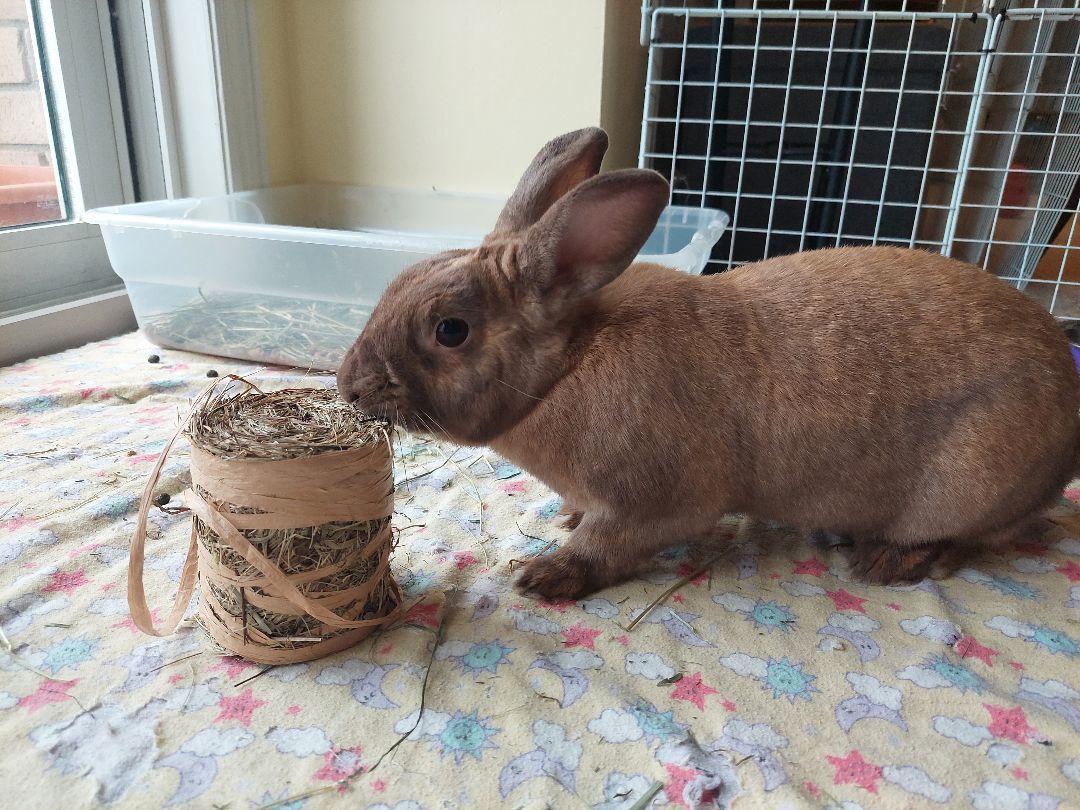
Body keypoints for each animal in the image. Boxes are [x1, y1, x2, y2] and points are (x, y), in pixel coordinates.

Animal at [337, 126, 1080, 600]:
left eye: (451, 330)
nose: (347, 386)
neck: (564, 370)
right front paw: (567, 521)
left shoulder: (654, 505)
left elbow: (609, 545)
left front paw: (546, 576)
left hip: (970, 484)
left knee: (980, 538)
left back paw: (888, 561)